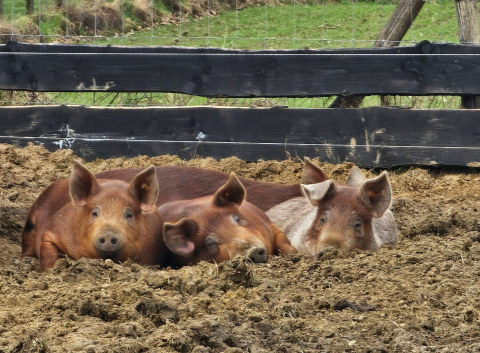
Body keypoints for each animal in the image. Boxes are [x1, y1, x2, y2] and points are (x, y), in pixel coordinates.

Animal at [21, 160, 165, 270]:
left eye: (129, 214)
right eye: (94, 213)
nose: (108, 234)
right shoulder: (54, 229)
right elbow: (48, 249)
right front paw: (50, 271)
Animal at [158, 172, 296, 266]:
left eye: (237, 219)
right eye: (210, 243)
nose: (252, 251)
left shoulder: (270, 224)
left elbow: (283, 242)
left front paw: (295, 254)